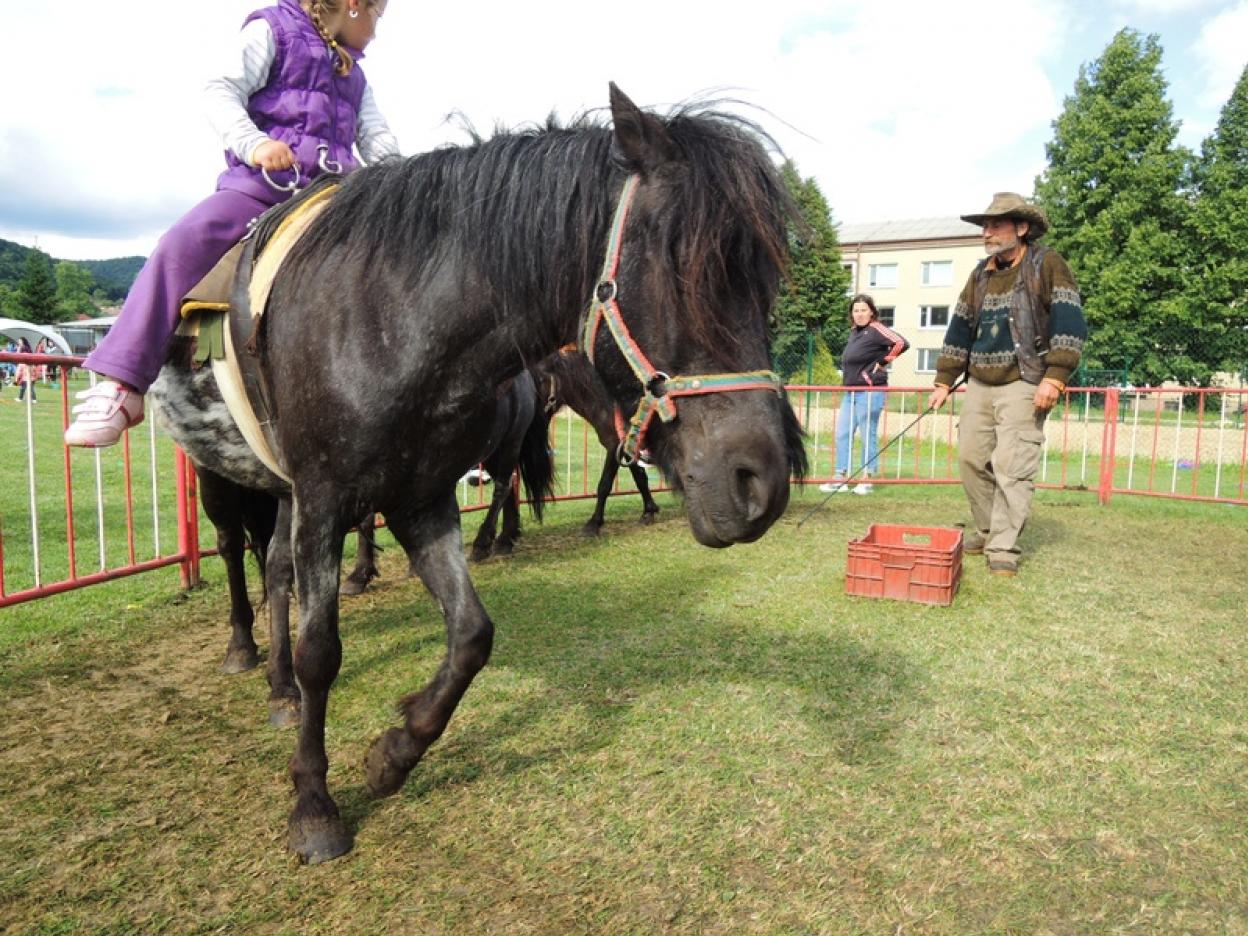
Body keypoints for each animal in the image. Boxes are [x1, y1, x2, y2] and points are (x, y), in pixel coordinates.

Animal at [158, 84, 808, 863]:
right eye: (686, 267)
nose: (762, 483)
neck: (386, 318)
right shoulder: (327, 496)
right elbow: (323, 651)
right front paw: (313, 803)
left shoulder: (420, 499)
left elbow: (472, 635)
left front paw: (395, 750)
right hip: (226, 480)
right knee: (235, 555)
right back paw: (244, 650)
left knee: (278, 572)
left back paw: (281, 688)